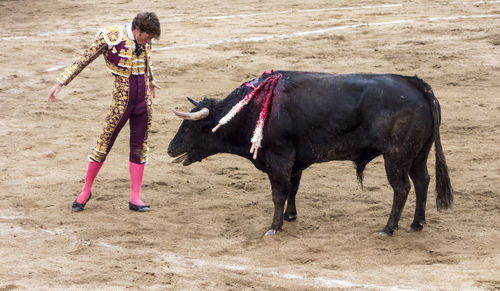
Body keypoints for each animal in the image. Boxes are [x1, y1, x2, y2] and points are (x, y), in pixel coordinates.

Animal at [168, 71, 454, 237]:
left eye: (189, 127)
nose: (169, 148)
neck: (254, 107)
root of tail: (416, 85)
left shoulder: (279, 158)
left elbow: (278, 193)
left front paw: (274, 227)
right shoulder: (295, 161)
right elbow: (292, 189)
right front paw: (289, 216)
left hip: (395, 156)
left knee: (402, 188)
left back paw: (388, 228)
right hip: (418, 154)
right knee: (422, 181)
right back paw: (417, 223)